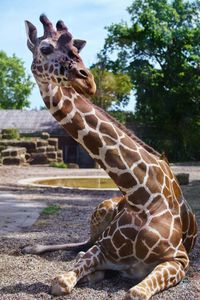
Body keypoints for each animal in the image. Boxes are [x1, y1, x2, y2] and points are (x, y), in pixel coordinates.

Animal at [23, 15, 197, 300]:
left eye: (77, 48)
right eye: (45, 48)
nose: (87, 80)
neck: (141, 195)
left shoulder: (179, 259)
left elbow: (135, 292)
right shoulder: (103, 249)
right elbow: (62, 281)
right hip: (102, 208)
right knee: (84, 243)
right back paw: (31, 248)